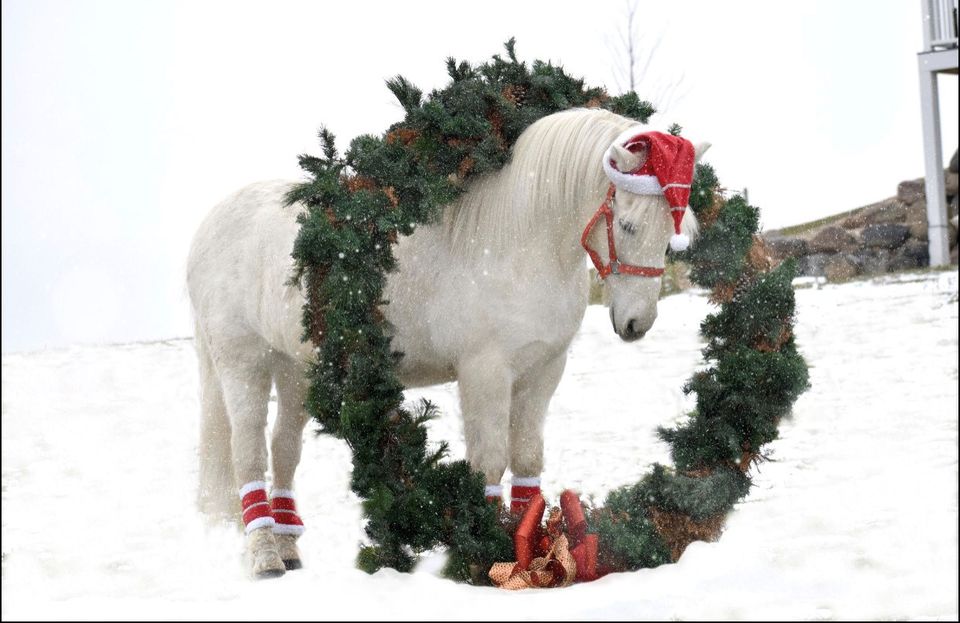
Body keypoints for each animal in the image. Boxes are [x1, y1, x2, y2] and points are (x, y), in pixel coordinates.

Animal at [189, 108, 704, 580]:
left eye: (672, 228)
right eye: (629, 225)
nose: (637, 323)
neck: (517, 243)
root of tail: (208, 228)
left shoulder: (543, 370)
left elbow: (527, 459)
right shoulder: (485, 372)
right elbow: (490, 462)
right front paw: (487, 553)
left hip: (295, 367)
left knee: (283, 450)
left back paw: (288, 547)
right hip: (242, 363)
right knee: (247, 449)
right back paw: (264, 555)